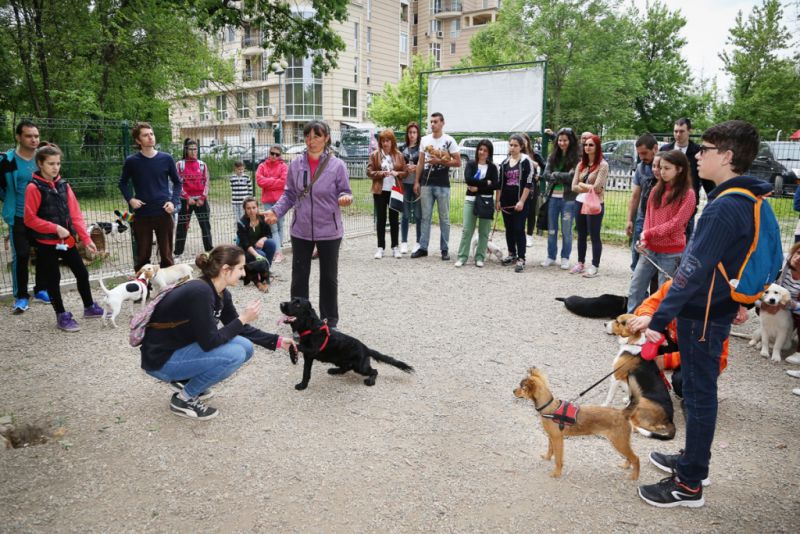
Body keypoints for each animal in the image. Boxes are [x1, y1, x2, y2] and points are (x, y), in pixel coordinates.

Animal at [280, 298, 416, 390]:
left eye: (297, 304)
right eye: (292, 299)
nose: (281, 304)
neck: (311, 327)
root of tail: (366, 348)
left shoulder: (312, 350)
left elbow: (294, 346)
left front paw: (293, 356)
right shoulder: (308, 357)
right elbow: (305, 373)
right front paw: (302, 385)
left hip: (360, 367)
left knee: (374, 371)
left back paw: (370, 381)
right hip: (340, 360)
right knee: (346, 368)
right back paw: (334, 370)